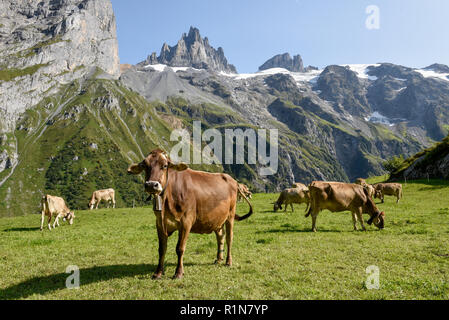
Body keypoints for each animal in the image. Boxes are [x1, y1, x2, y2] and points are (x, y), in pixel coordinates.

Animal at [128, 149, 254, 278]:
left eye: (165, 165)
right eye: (145, 165)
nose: (151, 185)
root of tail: (232, 180)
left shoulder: (186, 222)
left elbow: (180, 248)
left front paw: (178, 272)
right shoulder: (159, 223)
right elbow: (162, 249)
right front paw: (158, 273)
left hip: (230, 216)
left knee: (229, 237)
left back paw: (228, 261)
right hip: (217, 220)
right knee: (220, 237)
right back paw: (219, 259)